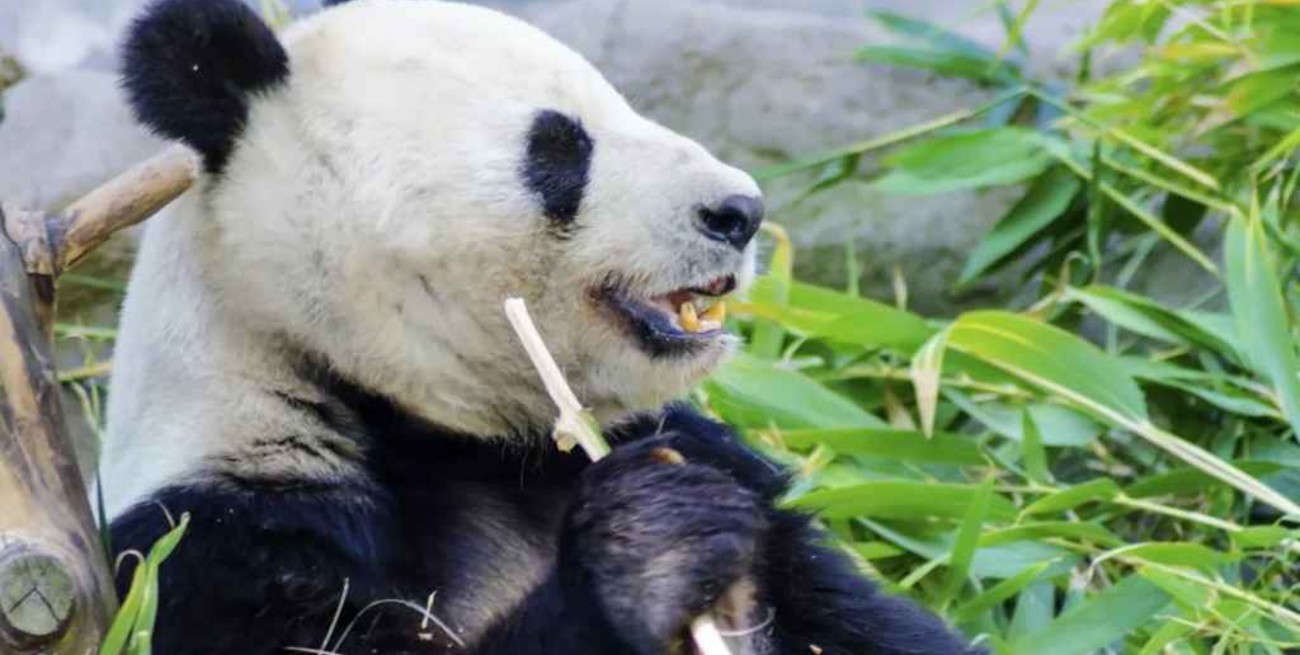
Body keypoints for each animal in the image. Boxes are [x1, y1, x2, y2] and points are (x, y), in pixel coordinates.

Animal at [100, 1, 983, 654]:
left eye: (625, 106)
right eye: (559, 148)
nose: (739, 210)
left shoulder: (716, 460)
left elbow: (856, 616)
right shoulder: (222, 541)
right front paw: (650, 545)